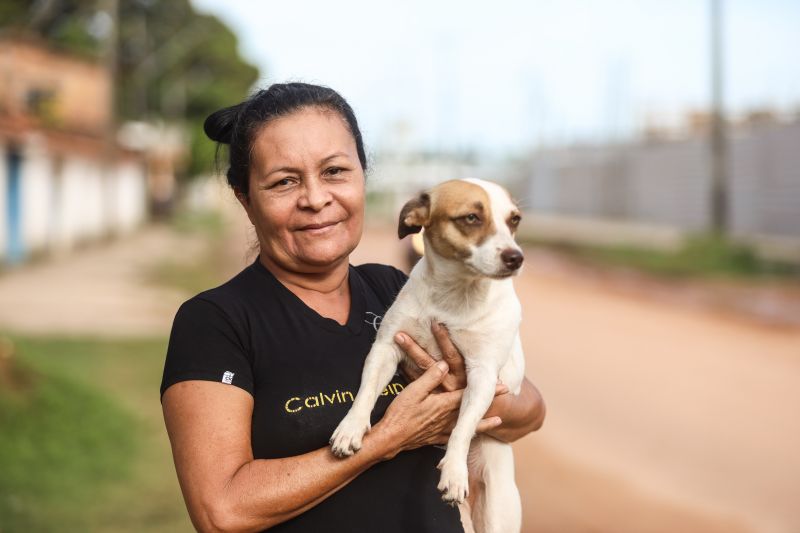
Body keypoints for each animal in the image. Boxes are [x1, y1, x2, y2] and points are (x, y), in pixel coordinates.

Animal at [332, 179, 524, 532]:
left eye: (514, 220)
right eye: (471, 217)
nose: (516, 258)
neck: (454, 295)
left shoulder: (482, 374)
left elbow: (463, 426)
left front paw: (454, 471)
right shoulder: (387, 346)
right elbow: (366, 392)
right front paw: (351, 427)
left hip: (496, 510)